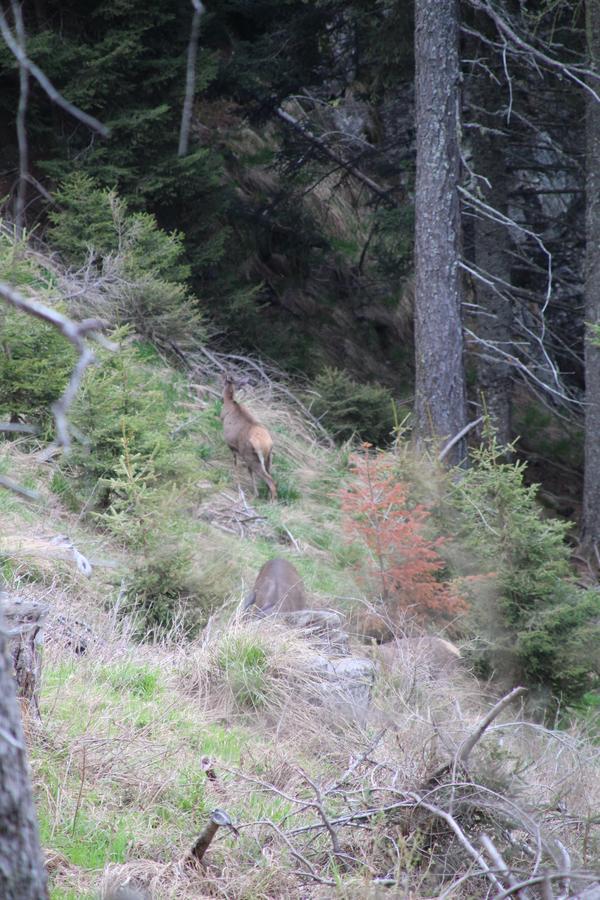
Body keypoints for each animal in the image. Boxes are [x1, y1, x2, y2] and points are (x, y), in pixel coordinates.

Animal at [220, 372, 276, 500]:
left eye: (225, 380)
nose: (221, 376)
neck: (229, 403)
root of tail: (267, 445)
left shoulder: (231, 445)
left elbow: (235, 464)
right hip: (267, 458)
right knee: (267, 476)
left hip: (251, 457)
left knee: (270, 481)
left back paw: (271, 501)